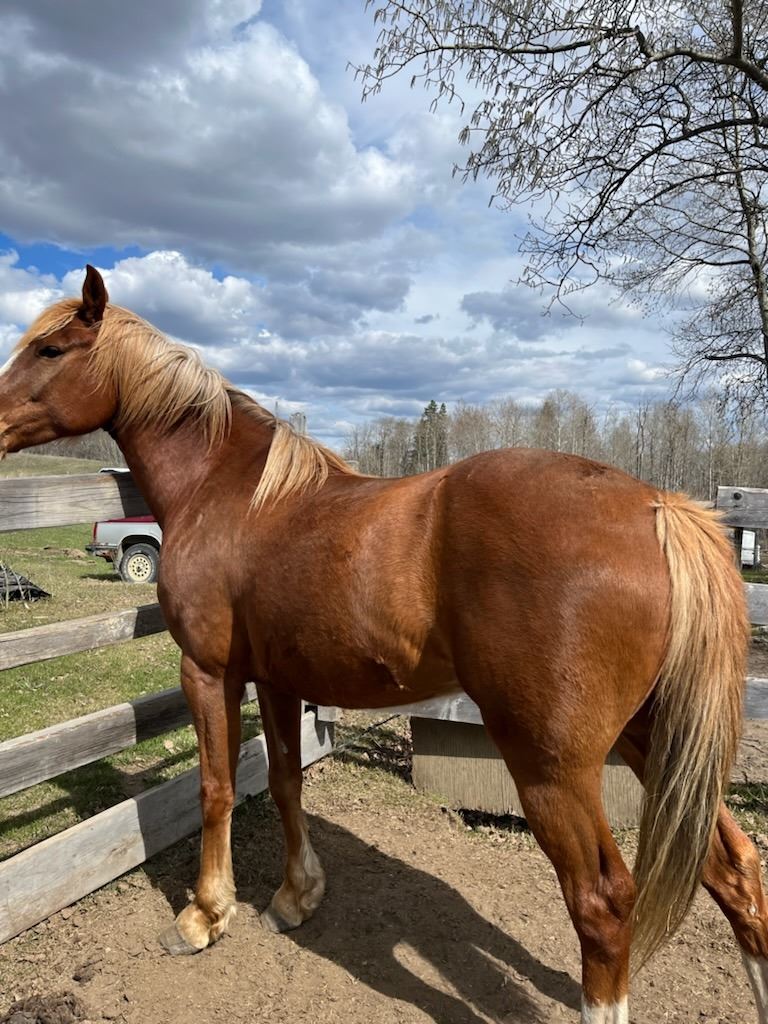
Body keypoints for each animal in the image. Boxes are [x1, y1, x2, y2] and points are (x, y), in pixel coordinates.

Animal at [0, 265, 765, 1023]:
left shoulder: (209, 671)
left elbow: (216, 787)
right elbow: (284, 778)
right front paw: (296, 896)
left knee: (603, 903)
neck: (230, 493)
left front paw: (204, 916)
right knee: (737, 871)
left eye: (49, 349)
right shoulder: (276, 678)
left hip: (554, 765)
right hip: (653, 736)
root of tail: (658, 507)